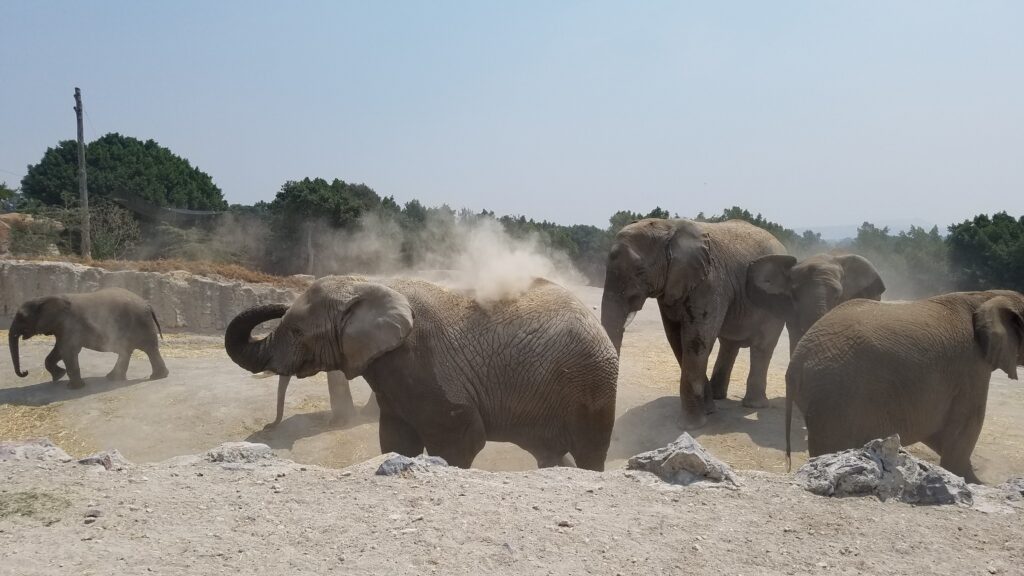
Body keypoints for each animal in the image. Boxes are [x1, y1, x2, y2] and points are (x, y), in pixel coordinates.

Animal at [9, 284, 169, 387]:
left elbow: (68, 350)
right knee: (128, 351)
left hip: (141, 323)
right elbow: (59, 350)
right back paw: (114, 379)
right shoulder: (62, 327)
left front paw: (74, 387)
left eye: (22, 317)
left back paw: (156, 377)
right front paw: (58, 376)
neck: (45, 298)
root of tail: (148, 304)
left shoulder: (70, 325)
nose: (25, 372)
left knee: (149, 349)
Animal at [225, 272, 618, 467]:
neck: (371, 285)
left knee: (589, 452)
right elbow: (397, 442)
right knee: (549, 452)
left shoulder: (425, 364)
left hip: (593, 383)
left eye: (296, 331)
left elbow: (462, 439)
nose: (269, 429)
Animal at [598, 217, 782, 424]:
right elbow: (677, 339)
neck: (668, 226)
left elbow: (695, 340)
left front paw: (692, 425)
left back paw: (754, 405)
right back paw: (718, 397)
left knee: (763, 346)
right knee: (729, 345)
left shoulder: (710, 283)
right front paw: (708, 411)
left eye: (640, 271)